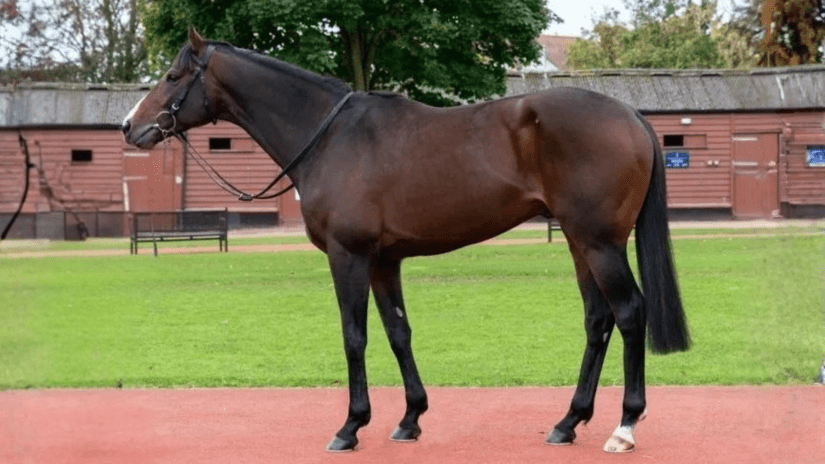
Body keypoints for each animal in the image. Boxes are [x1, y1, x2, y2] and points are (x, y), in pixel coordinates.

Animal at [122, 28, 690, 454]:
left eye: (173, 75)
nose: (130, 126)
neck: (330, 136)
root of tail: (631, 117)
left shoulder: (348, 257)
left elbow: (354, 336)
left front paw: (350, 427)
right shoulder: (383, 261)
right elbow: (398, 332)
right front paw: (410, 418)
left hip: (599, 243)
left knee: (629, 312)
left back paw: (624, 426)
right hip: (578, 243)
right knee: (597, 320)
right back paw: (568, 422)